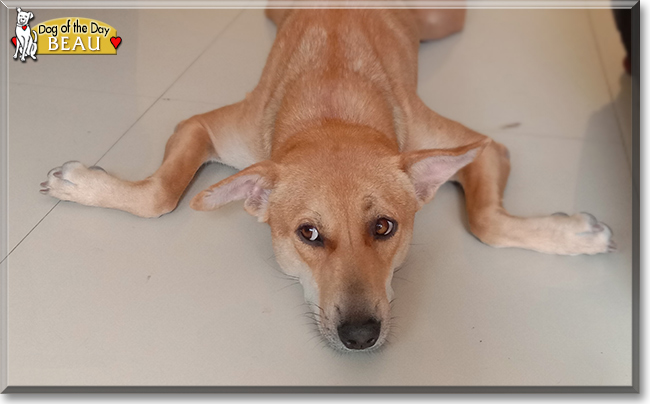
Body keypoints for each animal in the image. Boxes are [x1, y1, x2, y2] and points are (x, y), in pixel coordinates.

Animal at [40, 8, 612, 350]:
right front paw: (83, 184)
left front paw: (572, 236)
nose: (360, 335)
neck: (332, 105)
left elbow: (487, 221)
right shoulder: (203, 126)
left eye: (384, 227)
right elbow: (160, 191)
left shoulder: (482, 145)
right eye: (308, 234)